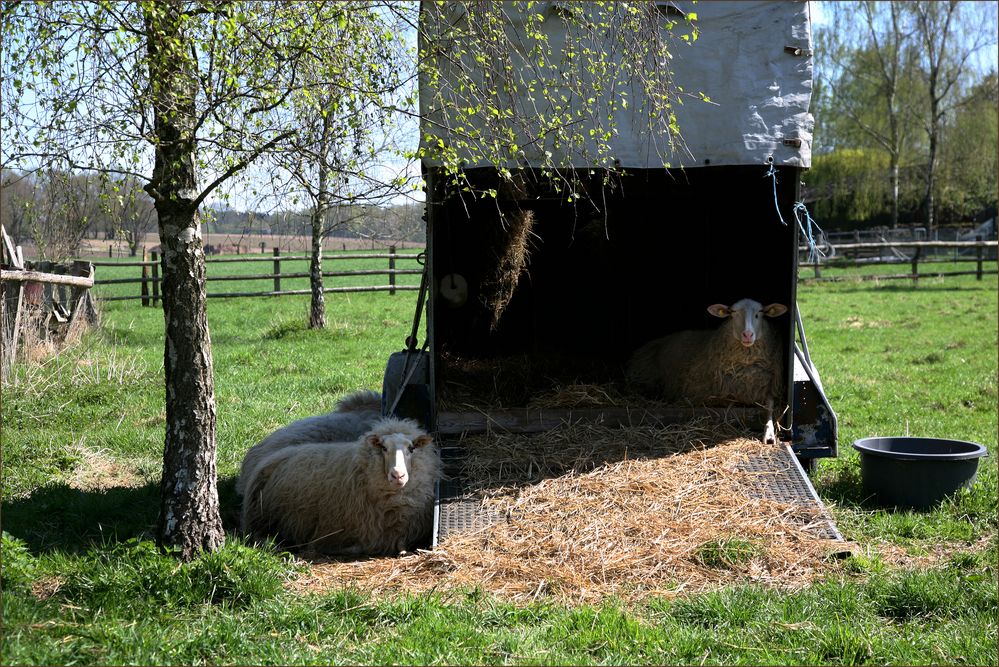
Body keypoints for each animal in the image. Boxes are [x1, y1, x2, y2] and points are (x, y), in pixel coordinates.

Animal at [238, 420, 442, 556]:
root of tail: (267, 461)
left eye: (411, 449)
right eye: (383, 448)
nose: (397, 475)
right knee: (256, 536)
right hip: (263, 517)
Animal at [632, 300, 788, 446]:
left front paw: (769, 434)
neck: (747, 367)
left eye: (759, 313)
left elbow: (770, 407)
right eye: (733, 313)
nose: (747, 335)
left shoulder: (769, 387)